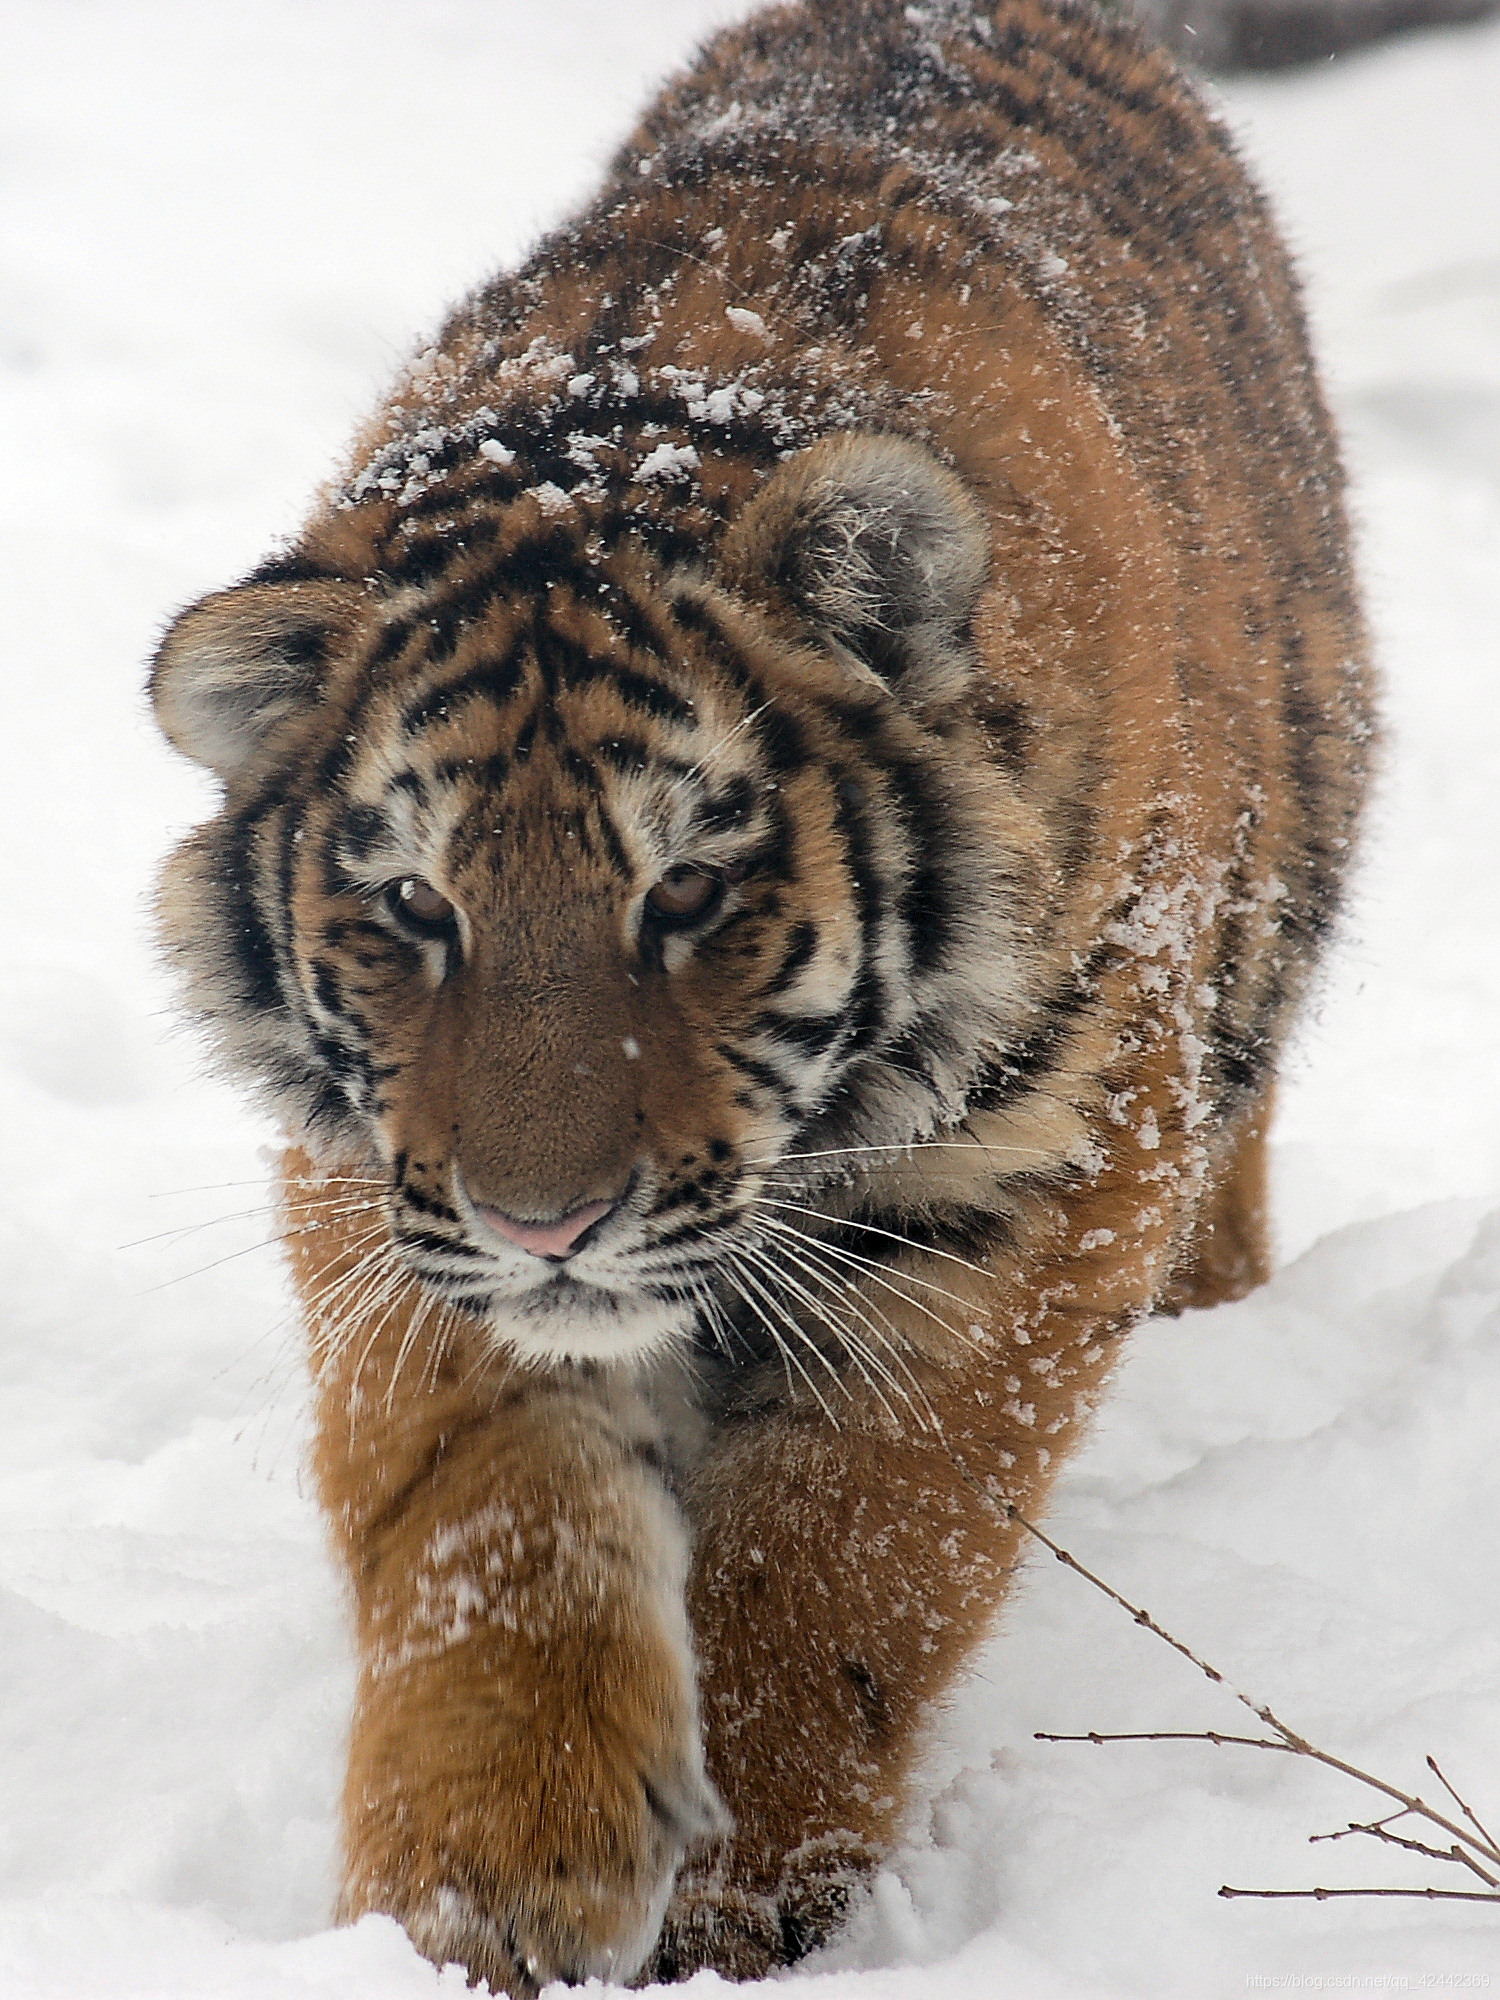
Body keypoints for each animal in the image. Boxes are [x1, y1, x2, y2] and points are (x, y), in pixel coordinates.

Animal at [148, 0, 1373, 1989]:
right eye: (414, 906)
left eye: (689, 892)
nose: (547, 1221)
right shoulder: (396, 1206)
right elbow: (490, 1529)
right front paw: (479, 1892)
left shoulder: (1042, 1171)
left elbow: (846, 1555)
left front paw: (743, 1902)